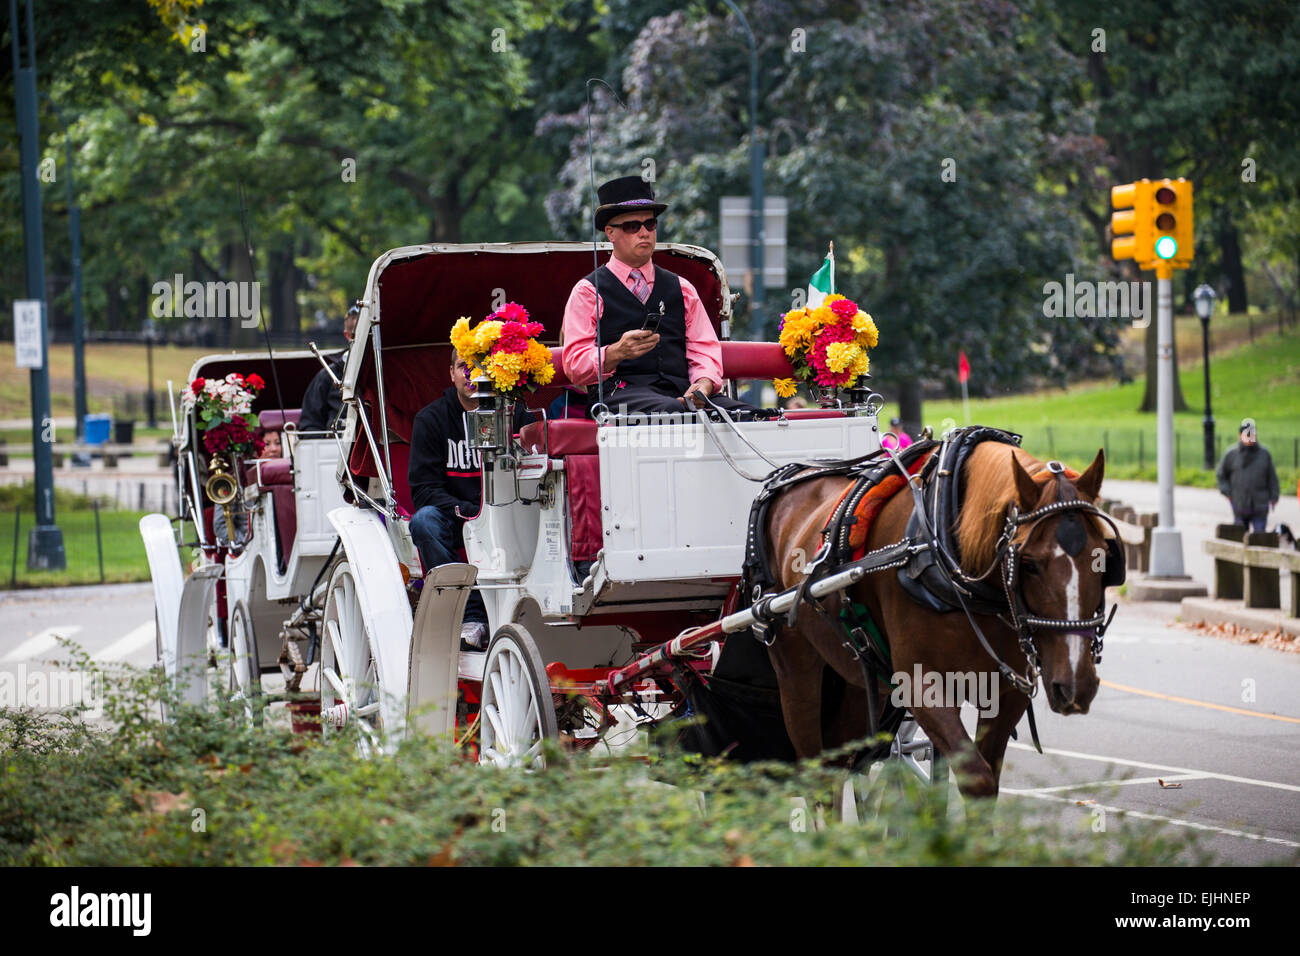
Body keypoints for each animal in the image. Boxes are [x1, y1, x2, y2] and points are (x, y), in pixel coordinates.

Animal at [759, 442, 1118, 801]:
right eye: (1028, 564)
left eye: (1103, 558)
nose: (1075, 686)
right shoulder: (920, 683)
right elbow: (976, 778)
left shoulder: (1005, 691)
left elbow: (985, 780)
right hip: (795, 670)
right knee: (815, 773)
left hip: (856, 680)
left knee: (838, 765)